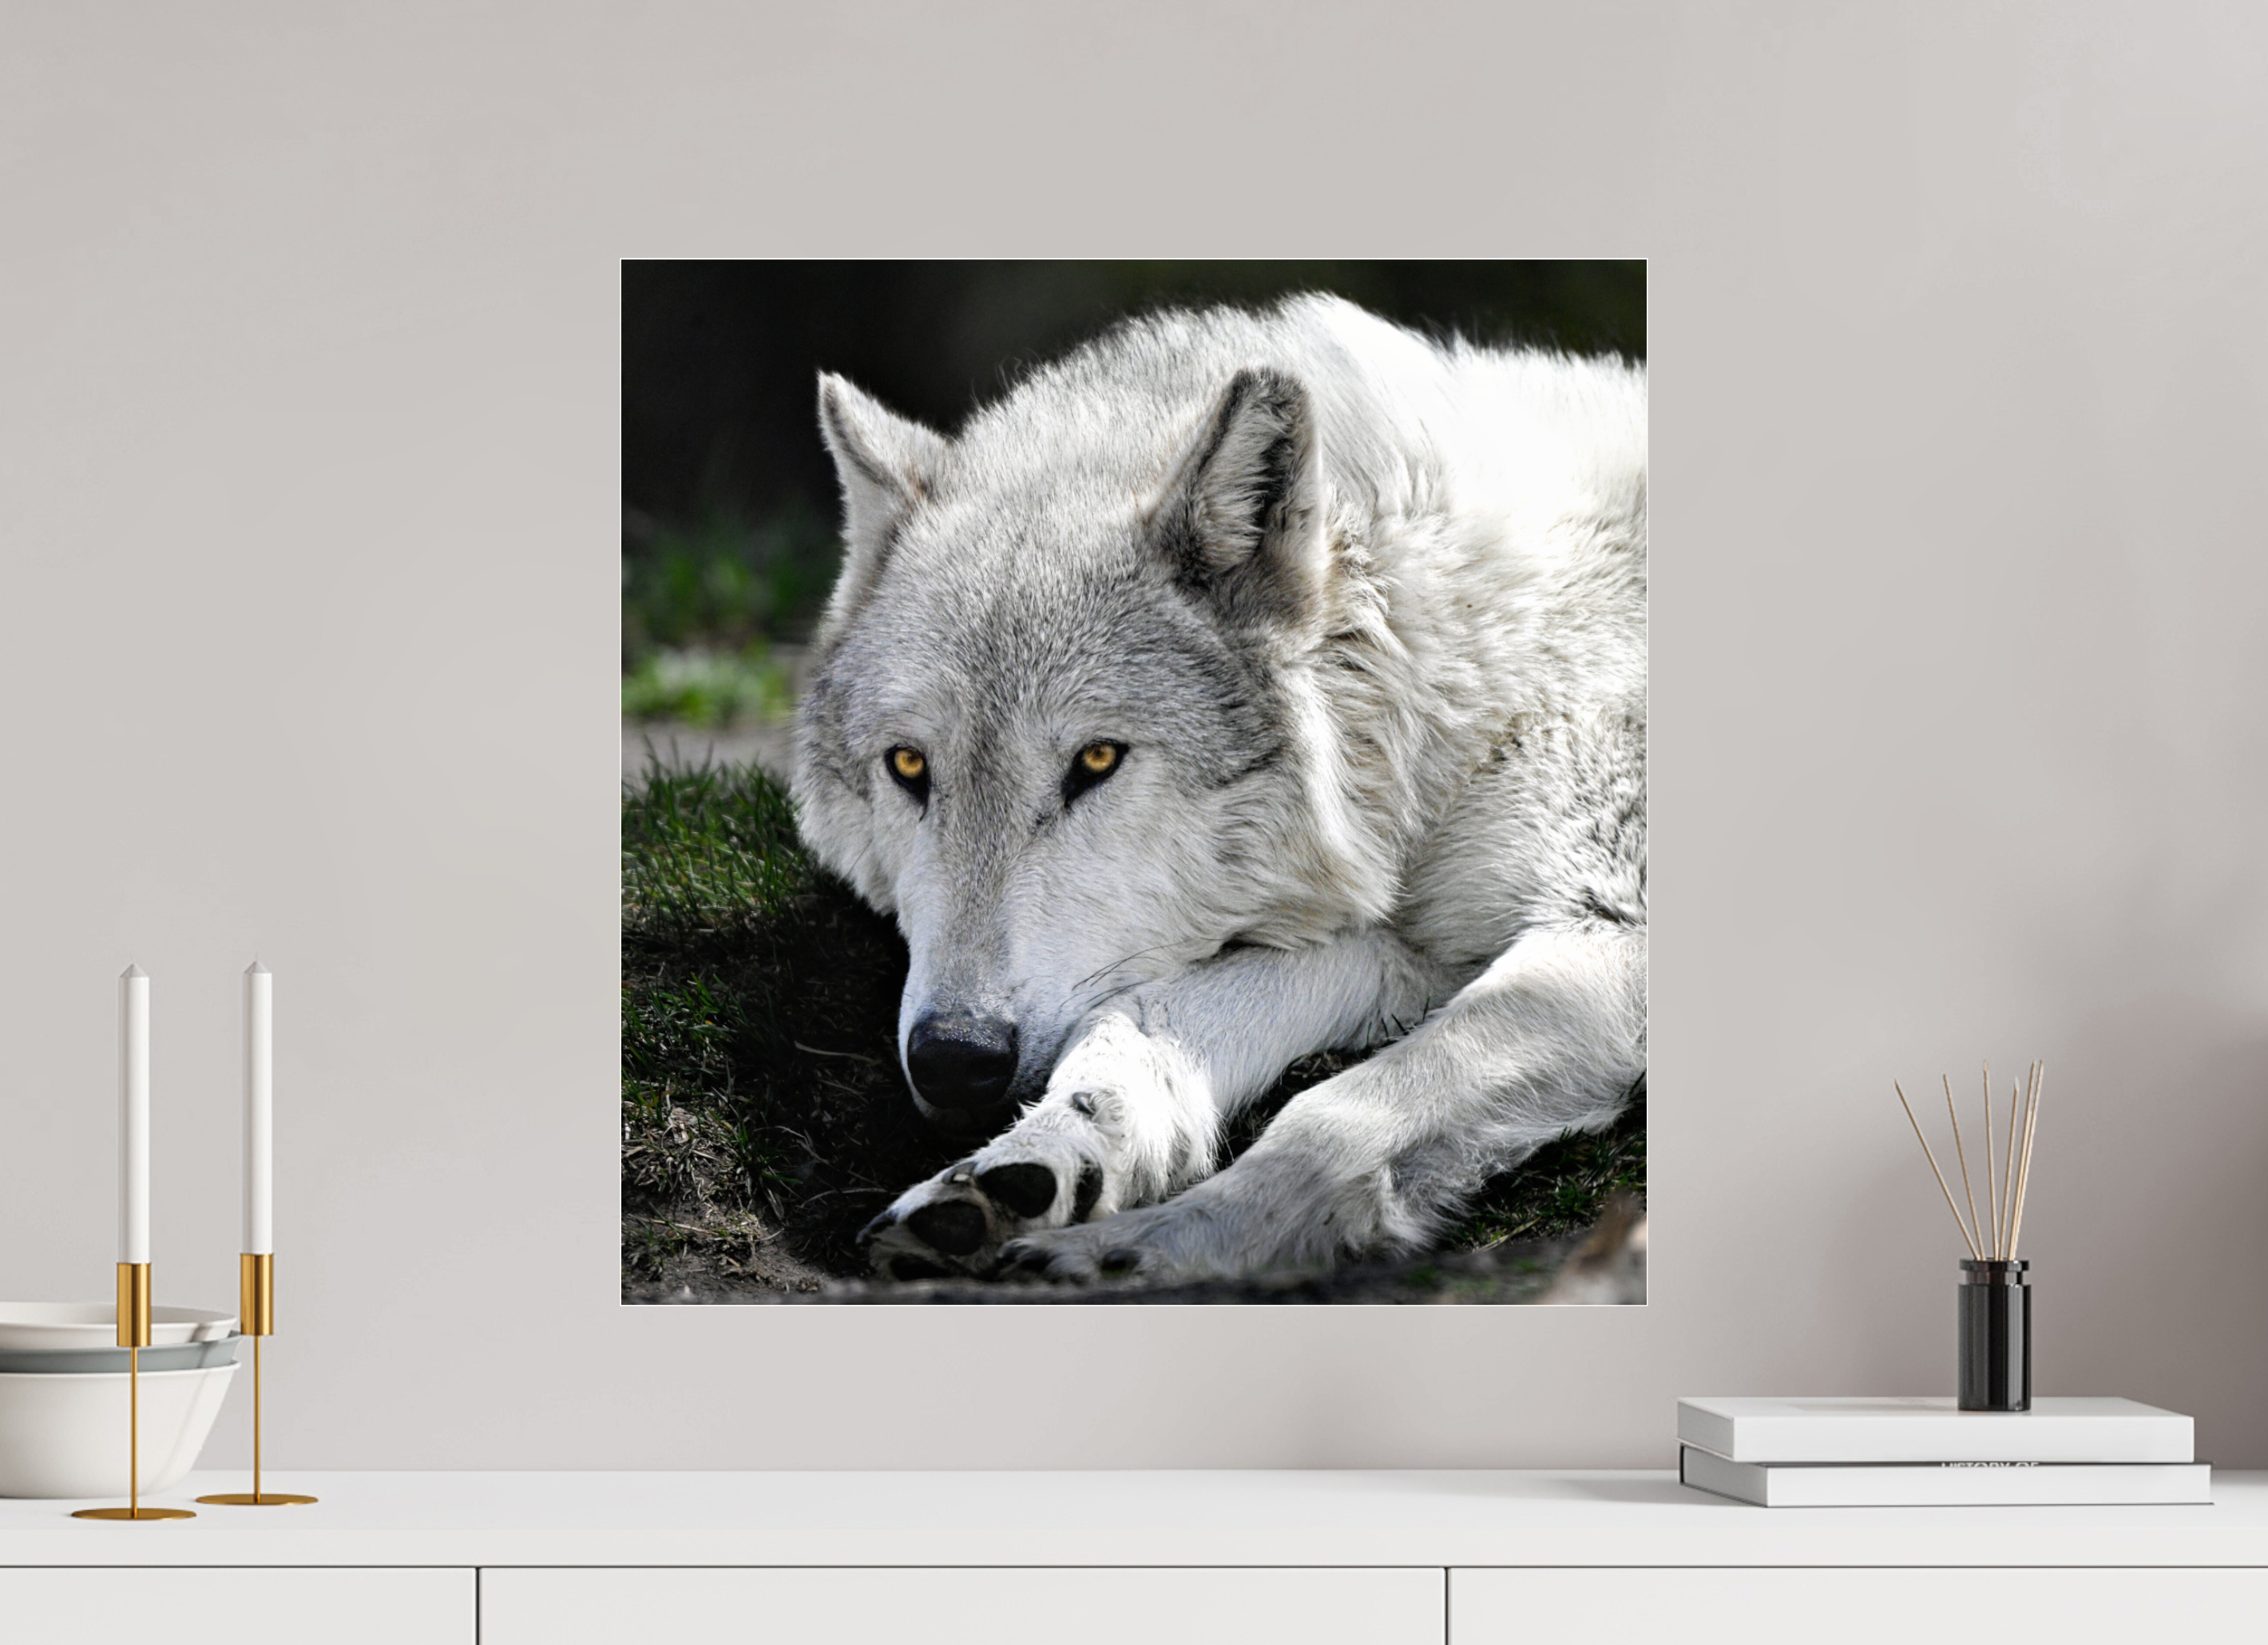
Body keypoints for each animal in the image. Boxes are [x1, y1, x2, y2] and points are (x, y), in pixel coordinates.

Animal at [790, 294, 1646, 1285]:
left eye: (1096, 760)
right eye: (908, 767)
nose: (952, 1058)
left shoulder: (1609, 931)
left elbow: (1335, 1112)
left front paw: (1147, 1250)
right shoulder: (1405, 949)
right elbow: (1136, 1017)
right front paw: (1039, 1161)